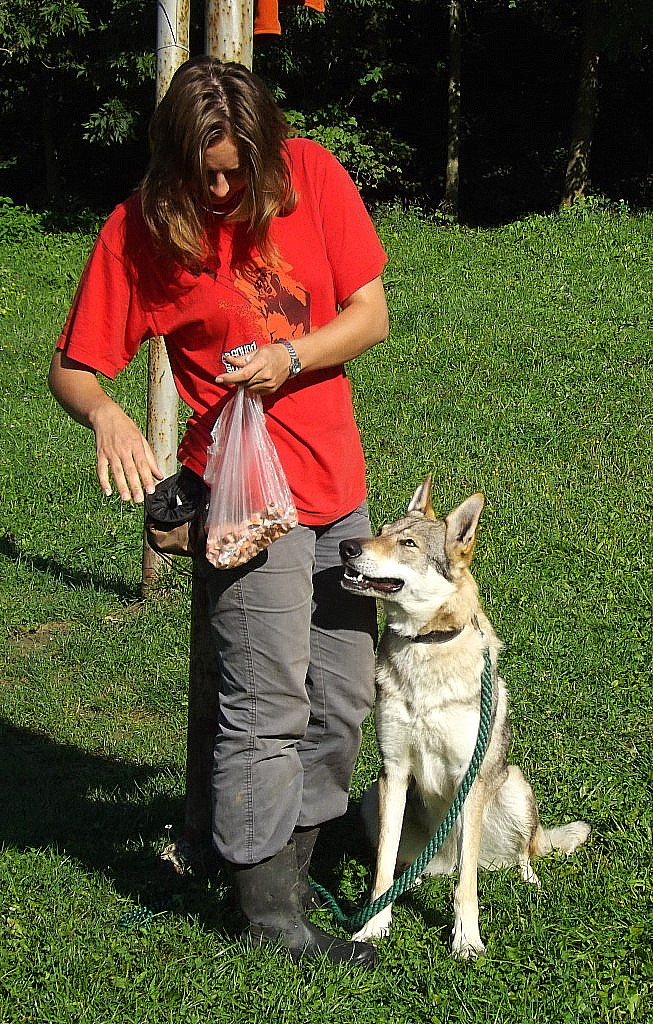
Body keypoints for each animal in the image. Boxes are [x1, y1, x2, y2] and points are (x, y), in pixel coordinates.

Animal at [339, 477, 589, 958]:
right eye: (381, 530)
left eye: (408, 544)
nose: (346, 546)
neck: (426, 647)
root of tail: (442, 860)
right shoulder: (393, 770)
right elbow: (382, 871)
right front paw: (373, 927)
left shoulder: (468, 777)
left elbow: (466, 889)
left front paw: (466, 941)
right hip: (371, 799)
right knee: (411, 863)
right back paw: (416, 878)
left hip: (512, 784)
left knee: (520, 853)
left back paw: (527, 879)